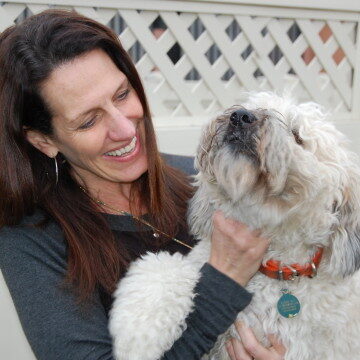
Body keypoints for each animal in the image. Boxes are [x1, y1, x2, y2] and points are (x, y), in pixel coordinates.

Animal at [108, 93, 360, 360]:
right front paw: (137, 337)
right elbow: (162, 270)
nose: (241, 116)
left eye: (297, 135)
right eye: (254, 105)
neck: (270, 272)